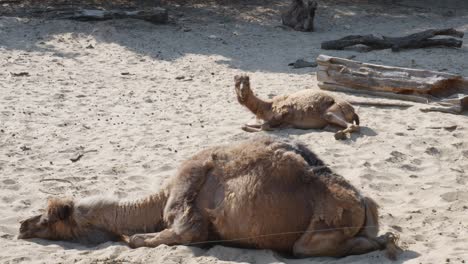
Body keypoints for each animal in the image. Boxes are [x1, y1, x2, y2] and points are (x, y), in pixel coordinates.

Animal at [17, 137, 398, 258]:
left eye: (49, 219)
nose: (22, 225)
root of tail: (361, 200)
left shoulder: (188, 218)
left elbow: (140, 239)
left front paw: (130, 237)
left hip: (323, 226)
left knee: (307, 248)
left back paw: (385, 244)